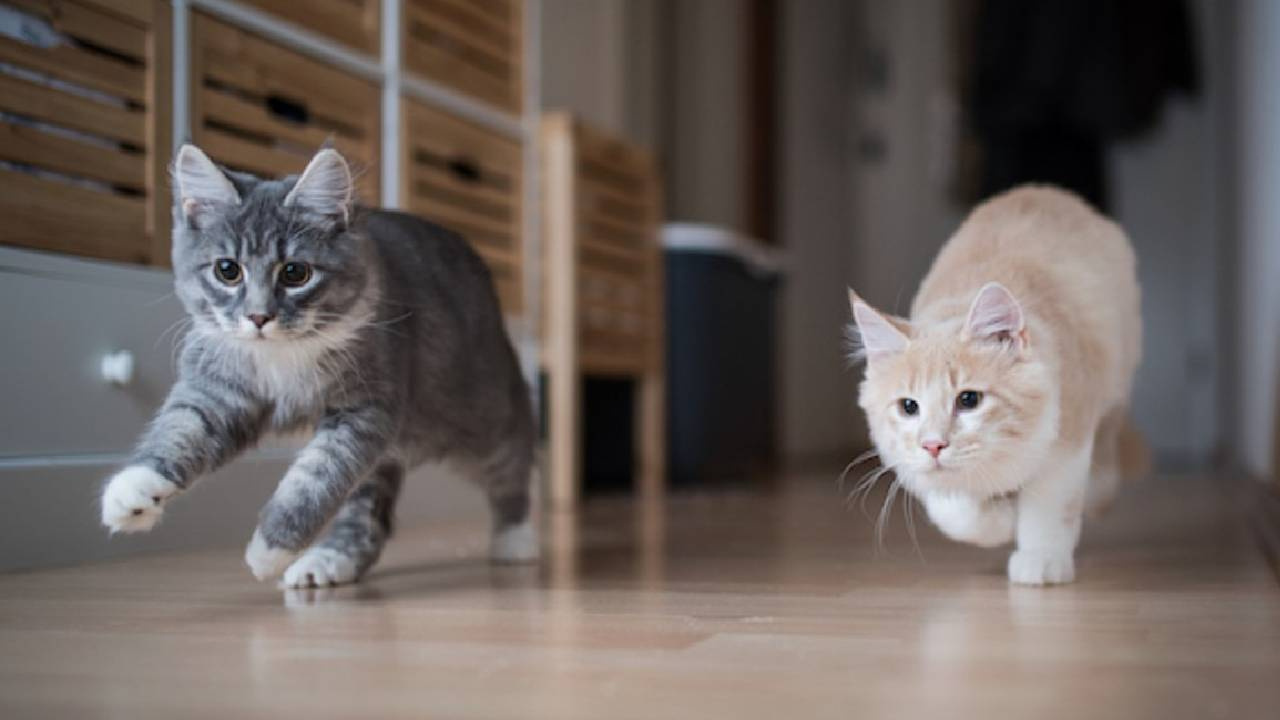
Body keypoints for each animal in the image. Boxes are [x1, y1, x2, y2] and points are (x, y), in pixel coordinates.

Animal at [99, 142, 537, 586]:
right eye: (227, 270)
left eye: (295, 272)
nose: (259, 317)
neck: (281, 356)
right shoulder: (217, 390)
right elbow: (181, 429)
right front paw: (133, 489)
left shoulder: (364, 412)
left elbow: (314, 479)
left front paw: (271, 548)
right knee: (367, 518)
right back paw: (329, 561)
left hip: (480, 417)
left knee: (513, 464)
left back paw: (517, 538)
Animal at [855, 184, 1146, 584]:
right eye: (909, 406)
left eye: (969, 399)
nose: (933, 445)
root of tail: (1045, 190)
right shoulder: (916, 469)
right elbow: (957, 512)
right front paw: (1002, 519)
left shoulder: (1067, 432)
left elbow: (1049, 505)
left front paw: (1040, 556)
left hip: (1115, 378)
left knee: (1105, 456)